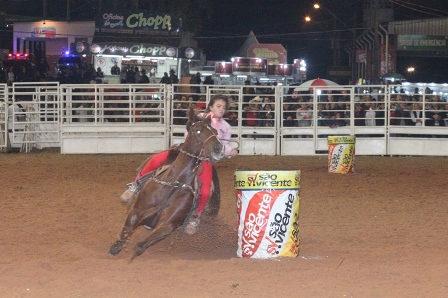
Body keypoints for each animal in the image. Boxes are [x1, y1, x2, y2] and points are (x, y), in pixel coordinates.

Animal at [109, 108, 224, 258]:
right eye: (198, 130)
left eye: (215, 131)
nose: (218, 148)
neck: (173, 184)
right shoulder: (135, 212)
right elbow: (121, 240)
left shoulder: (167, 225)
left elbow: (140, 246)